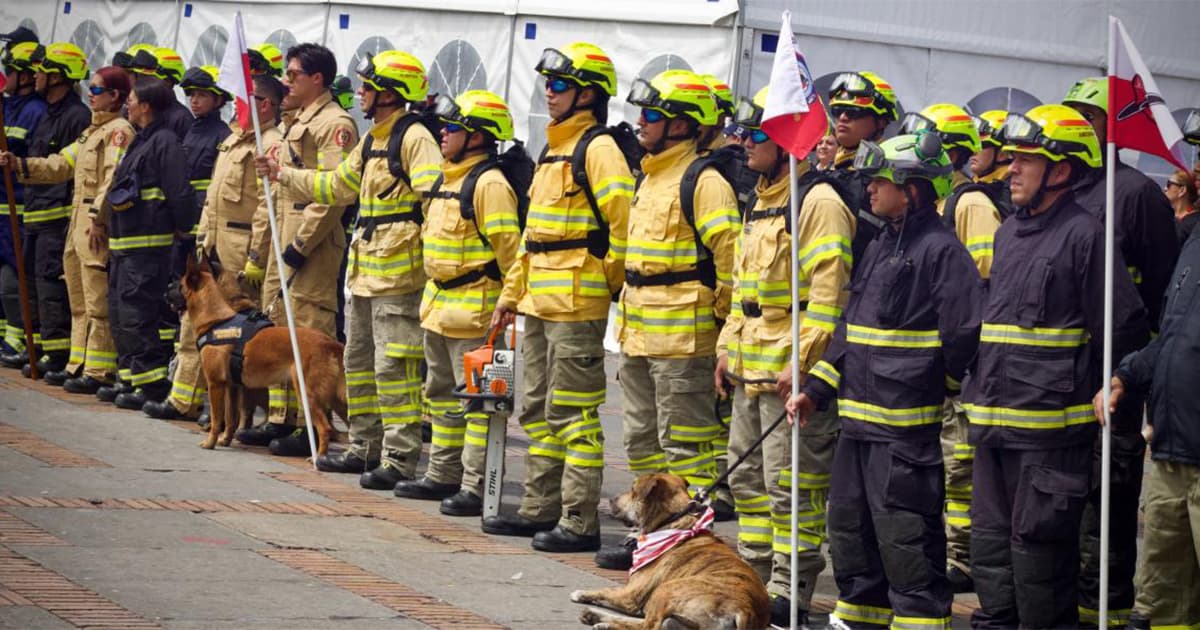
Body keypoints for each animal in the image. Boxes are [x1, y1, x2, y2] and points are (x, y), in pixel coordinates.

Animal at [172, 250, 348, 451]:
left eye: (179, 285)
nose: (165, 291)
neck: (217, 320)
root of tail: (330, 343)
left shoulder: (216, 384)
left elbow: (218, 419)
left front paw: (211, 442)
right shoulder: (233, 387)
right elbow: (230, 418)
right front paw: (226, 440)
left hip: (308, 394)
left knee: (325, 428)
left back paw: (317, 456)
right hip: (337, 400)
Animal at [568, 475, 768, 628]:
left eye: (633, 490)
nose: (610, 500)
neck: (671, 521)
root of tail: (746, 609)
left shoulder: (631, 595)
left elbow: (607, 590)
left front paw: (582, 593)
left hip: (665, 590)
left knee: (648, 626)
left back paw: (603, 622)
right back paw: (597, 617)